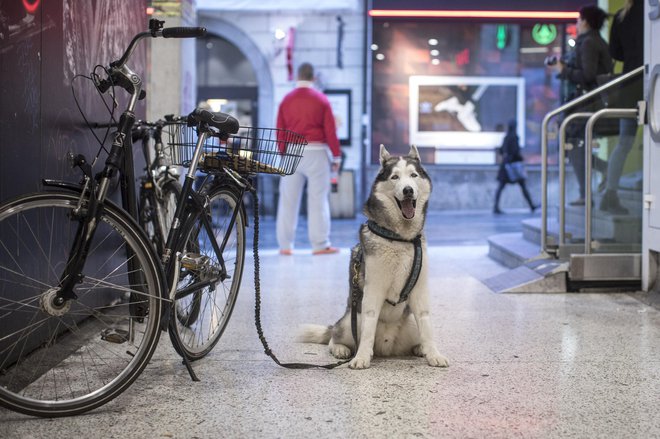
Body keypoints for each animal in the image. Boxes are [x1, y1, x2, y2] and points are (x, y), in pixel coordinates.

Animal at [298, 146, 448, 370]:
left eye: (413, 175)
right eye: (395, 177)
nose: (408, 190)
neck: (399, 238)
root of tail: (387, 348)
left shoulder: (420, 290)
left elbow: (426, 323)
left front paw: (433, 354)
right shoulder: (373, 290)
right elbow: (369, 326)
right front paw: (360, 358)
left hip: (409, 323)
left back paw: (419, 348)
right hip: (351, 319)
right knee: (336, 334)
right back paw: (343, 349)